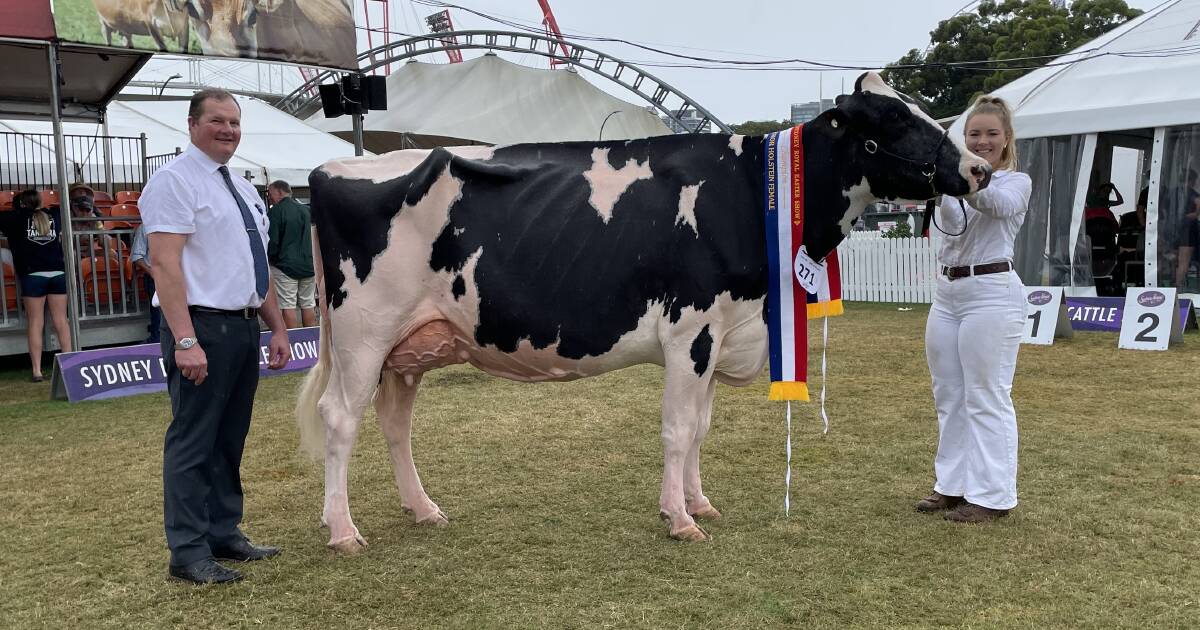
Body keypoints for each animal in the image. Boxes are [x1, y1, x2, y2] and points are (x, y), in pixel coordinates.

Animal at [295, 71, 988, 549]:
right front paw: (679, 519)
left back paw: (423, 509)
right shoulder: (692, 331)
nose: (980, 167)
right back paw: (342, 532)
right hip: (362, 334)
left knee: (394, 423)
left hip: (408, 347)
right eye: (892, 119)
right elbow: (679, 429)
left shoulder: (721, 330)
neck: (748, 194)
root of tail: (331, 166)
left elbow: (701, 428)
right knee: (339, 419)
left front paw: (700, 504)